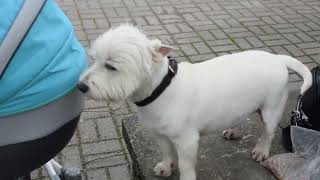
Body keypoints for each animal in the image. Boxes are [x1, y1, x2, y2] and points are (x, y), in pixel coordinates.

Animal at [79, 24, 312, 180]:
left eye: (111, 66)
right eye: (96, 59)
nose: (80, 86)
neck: (161, 90)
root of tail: (278, 58)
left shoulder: (187, 141)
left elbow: (185, 165)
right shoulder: (160, 135)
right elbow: (166, 152)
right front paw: (166, 167)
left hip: (272, 108)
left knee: (268, 132)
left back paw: (261, 151)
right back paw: (233, 130)